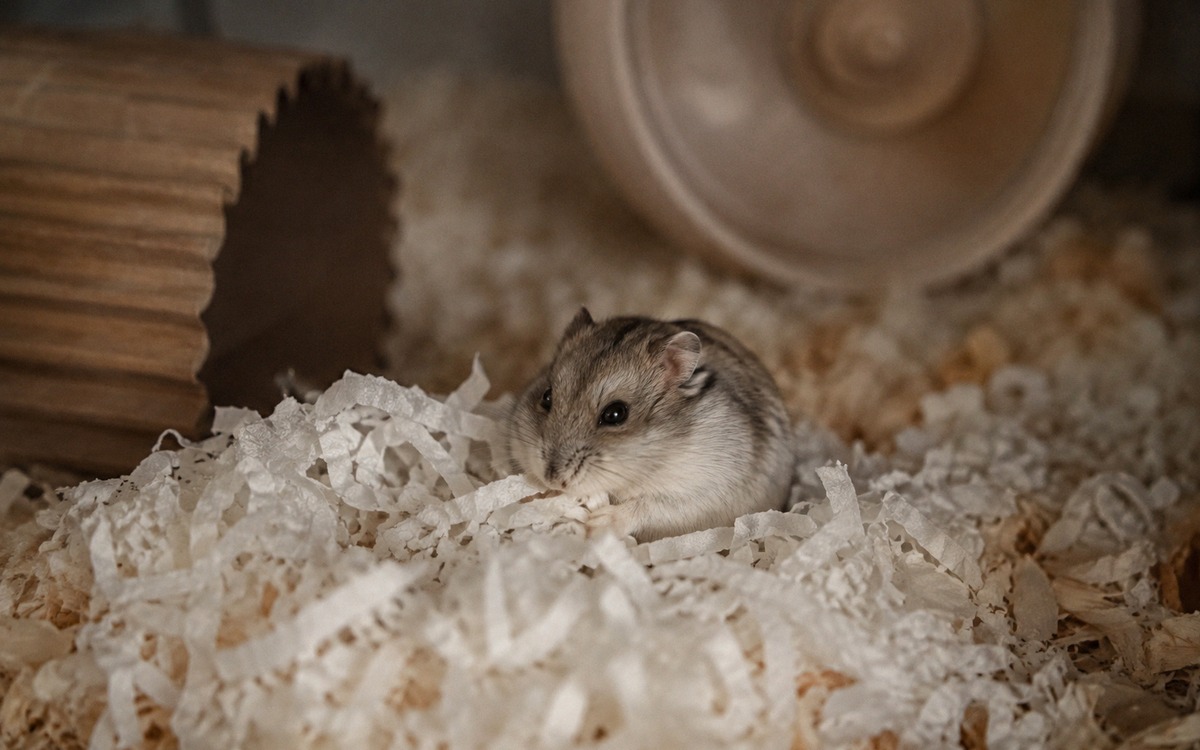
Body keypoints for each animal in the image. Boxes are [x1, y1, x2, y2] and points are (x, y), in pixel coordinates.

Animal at [504, 308, 794, 542]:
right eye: (546, 397)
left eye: (615, 414)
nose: (553, 479)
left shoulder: (705, 491)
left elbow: (647, 507)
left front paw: (593, 525)